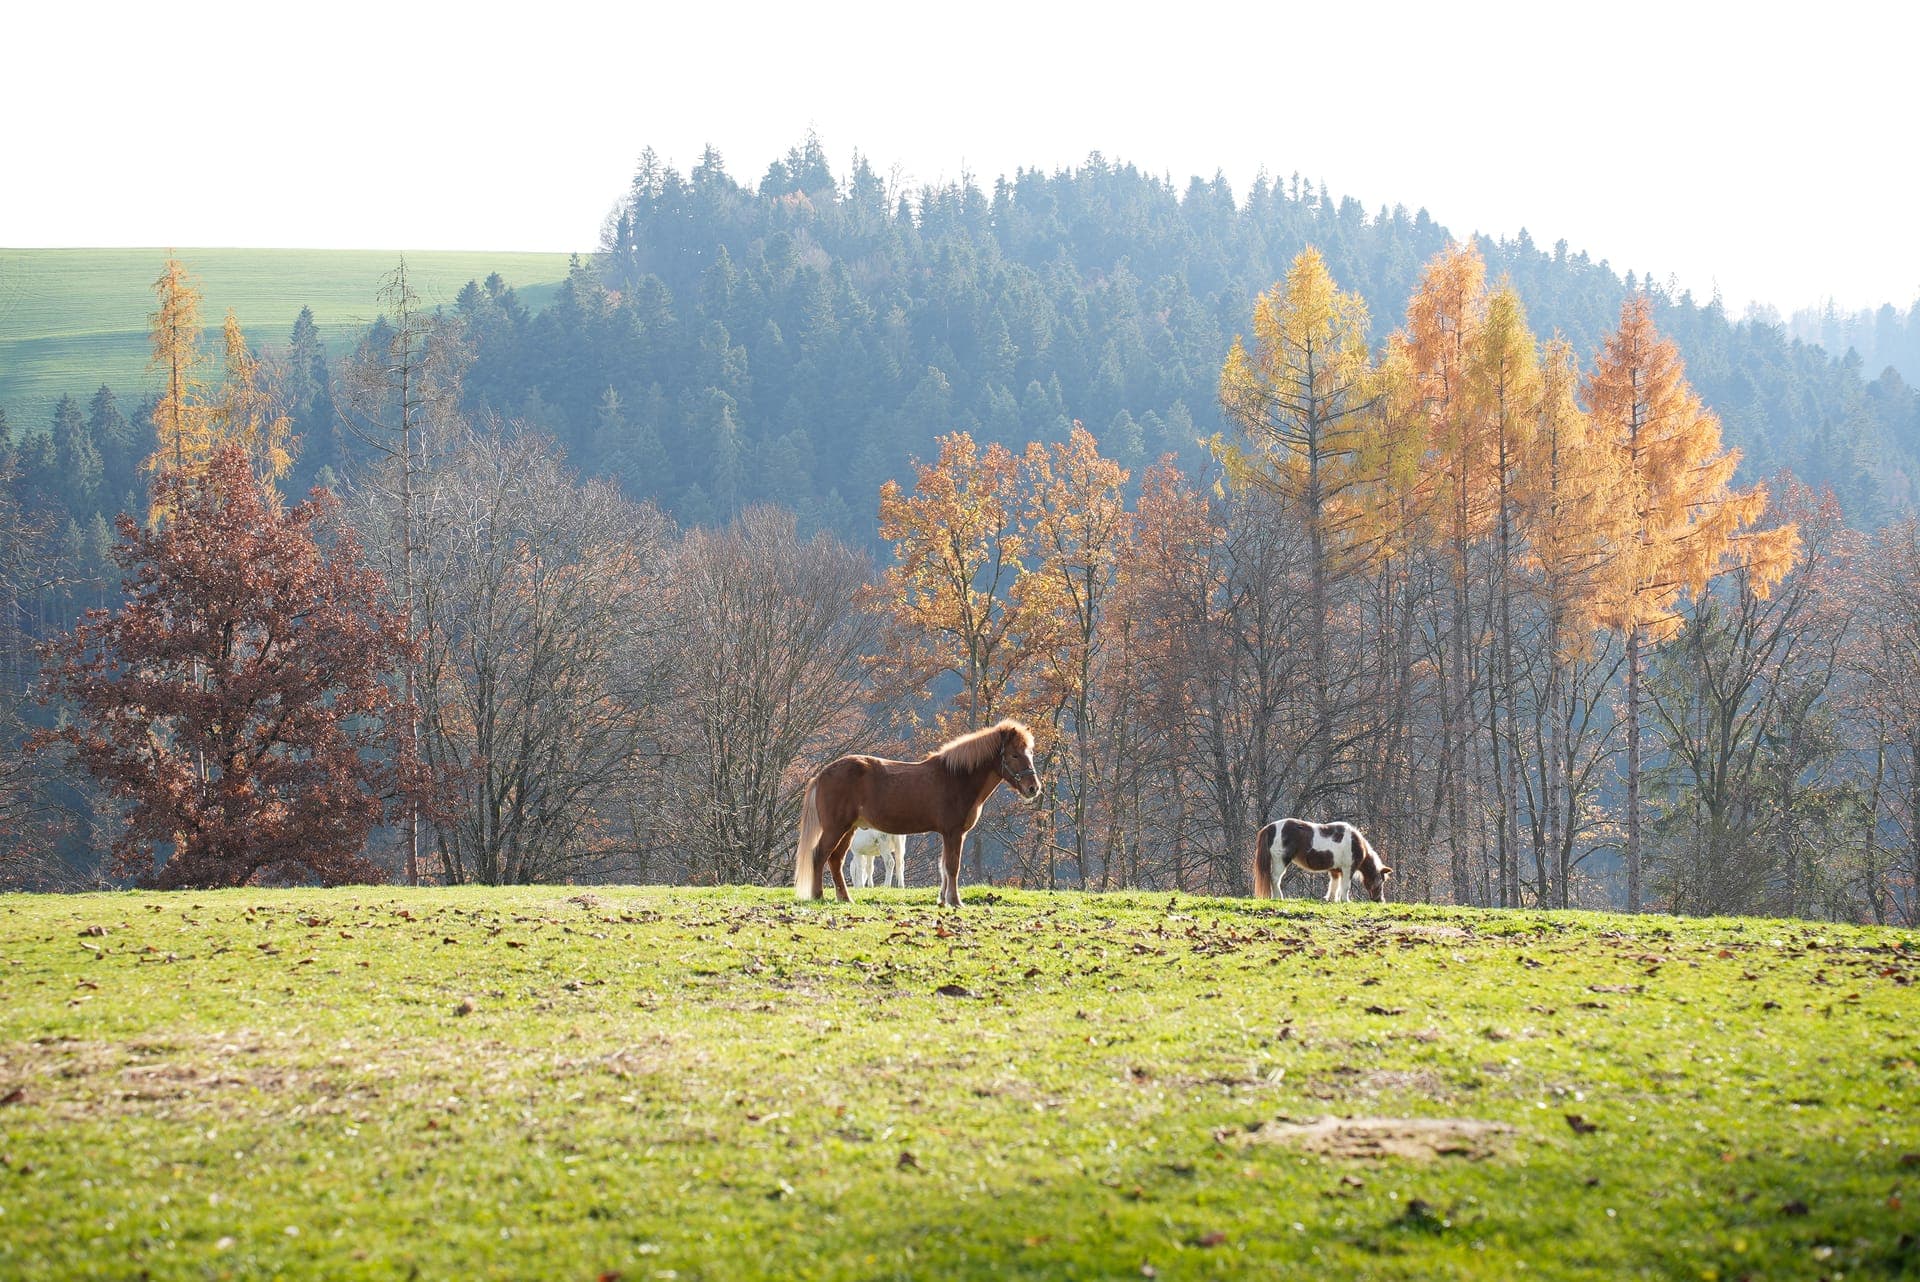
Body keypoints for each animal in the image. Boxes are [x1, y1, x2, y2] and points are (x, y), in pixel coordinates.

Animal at [793, 720, 1041, 907]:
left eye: (1030, 752)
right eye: (1015, 755)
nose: (1033, 788)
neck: (957, 778)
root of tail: (822, 774)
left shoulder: (948, 834)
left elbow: (944, 867)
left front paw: (942, 900)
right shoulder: (954, 833)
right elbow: (952, 866)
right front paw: (955, 901)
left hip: (848, 829)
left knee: (835, 859)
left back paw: (845, 898)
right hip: (836, 828)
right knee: (819, 855)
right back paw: (818, 895)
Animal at [1253, 817, 1393, 902]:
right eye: (1382, 881)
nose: (1380, 900)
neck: (1355, 843)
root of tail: (1270, 827)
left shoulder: (1335, 870)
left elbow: (1334, 885)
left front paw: (1332, 899)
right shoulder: (1348, 869)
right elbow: (1345, 886)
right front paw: (1345, 900)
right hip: (1280, 861)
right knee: (1275, 878)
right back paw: (1278, 897)